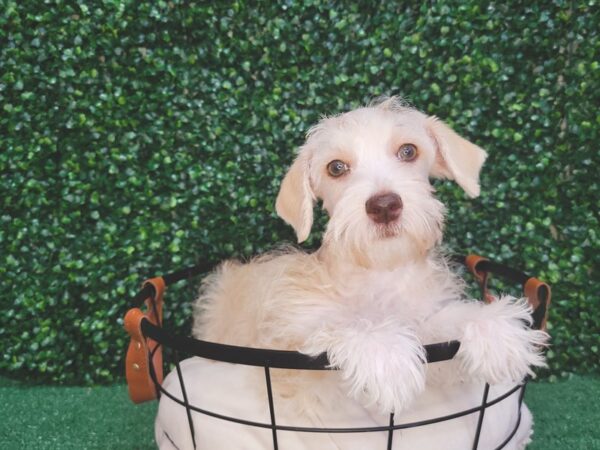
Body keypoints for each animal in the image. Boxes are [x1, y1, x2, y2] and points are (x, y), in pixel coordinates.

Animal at [155, 98, 548, 450]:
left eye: (408, 151)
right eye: (336, 168)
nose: (384, 205)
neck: (378, 272)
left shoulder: (424, 322)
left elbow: (445, 319)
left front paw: (494, 329)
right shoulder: (291, 361)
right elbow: (337, 325)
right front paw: (385, 356)